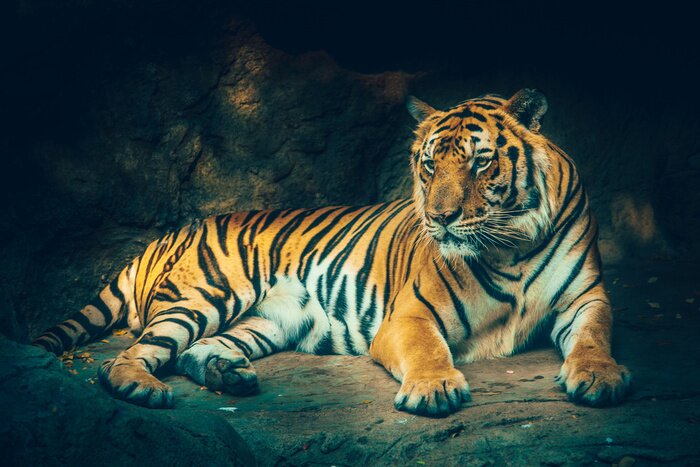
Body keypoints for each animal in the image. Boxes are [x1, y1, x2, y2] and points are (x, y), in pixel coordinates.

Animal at [33, 89, 631, 416]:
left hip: (267, 321)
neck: (511, 246)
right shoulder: (409, 316)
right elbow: (429, 350)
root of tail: (172, 233)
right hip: (205, 296)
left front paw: (600, 377)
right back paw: (144, 388)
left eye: (480, 162)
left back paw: (231, 377)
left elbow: (594, 338)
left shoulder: (587, 299)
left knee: (193, 352)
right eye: (429, 164)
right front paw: (434, 388)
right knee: (124, 358)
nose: (439, 218)